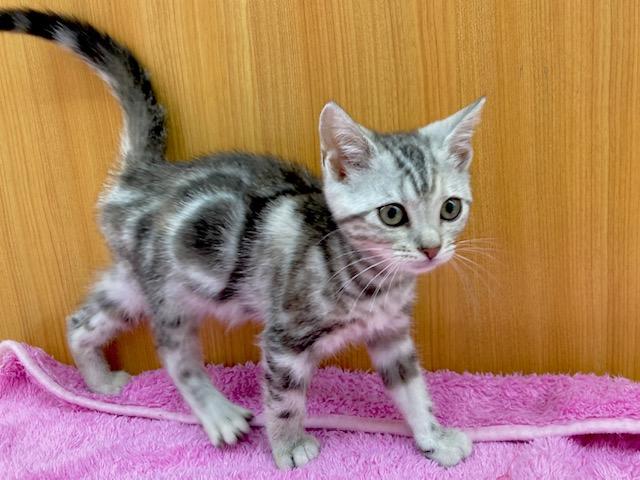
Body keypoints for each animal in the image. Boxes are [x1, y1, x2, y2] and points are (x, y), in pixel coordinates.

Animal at [0, 9, 485, 470]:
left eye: (450, 208)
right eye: (392, 214)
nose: (431, 248)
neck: (368, 278)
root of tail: (142, 177)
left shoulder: (392, 333)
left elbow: (413, 389)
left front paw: (433, 437)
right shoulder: (284, 339)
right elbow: (284, 400)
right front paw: (289, 448)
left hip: (134, 281)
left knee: (84, 319)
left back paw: (98, 380)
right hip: (171, 292)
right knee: (174, 354)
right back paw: (218, 414)